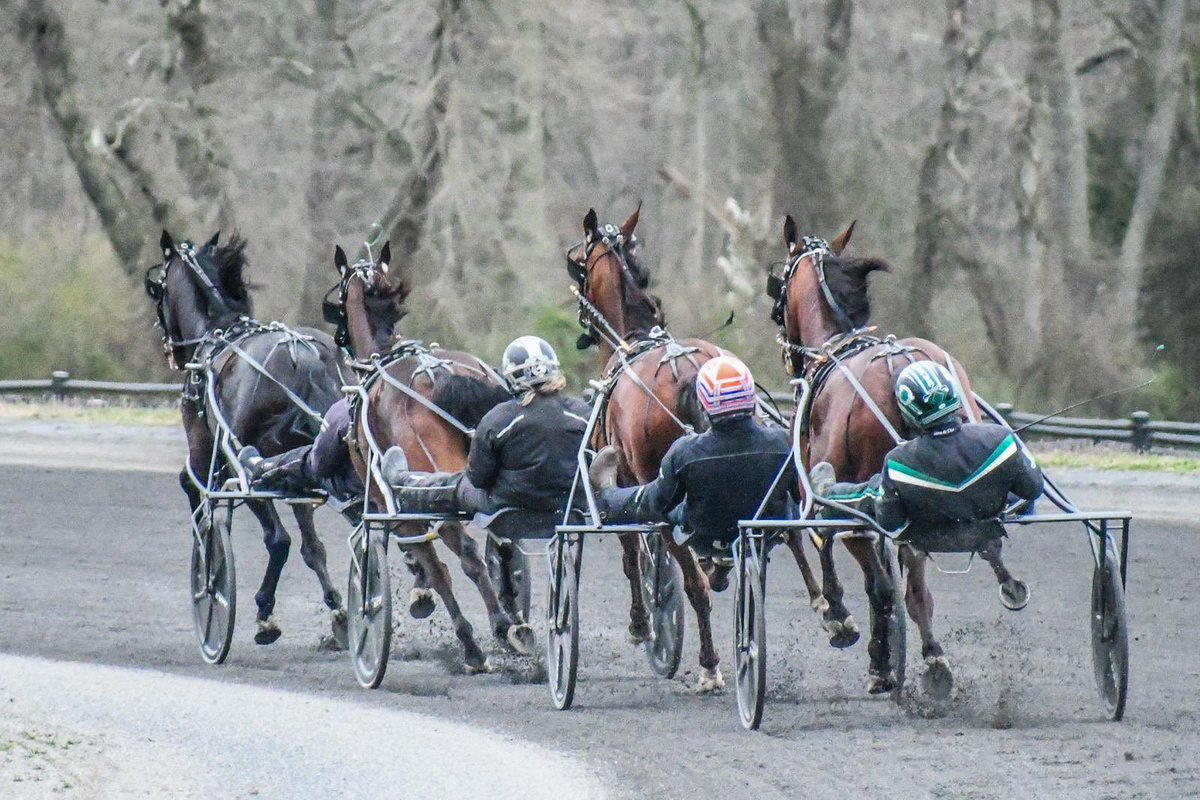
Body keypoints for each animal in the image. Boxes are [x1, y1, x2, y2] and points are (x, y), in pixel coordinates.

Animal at [145, 230, 350, 652]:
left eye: (158, 287)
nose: (171, 349)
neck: (217, 335)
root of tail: (304, 358)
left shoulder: (208, 453)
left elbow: (194, 489)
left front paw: (208, 571)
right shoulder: (295, 472)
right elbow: (314, 549)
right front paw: (338, 610)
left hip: (251, 468)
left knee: (278, 540)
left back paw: (264, 613)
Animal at [328, 242, 535, 671]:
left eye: (338, 299)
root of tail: (441, 375)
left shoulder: (395, 504)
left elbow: (435, 568)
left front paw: (468, 640)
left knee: (468, 555)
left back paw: (499, 627)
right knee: (504, 540)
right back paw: (516, 617)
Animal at [768, 214, 1032, 695]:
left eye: (778, 294)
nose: (785, 350)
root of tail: (899, 363)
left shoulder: (839, 504)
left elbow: (859, 572)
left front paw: (846, 625)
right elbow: (901, 586)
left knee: (887, 584)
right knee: (929, 579)